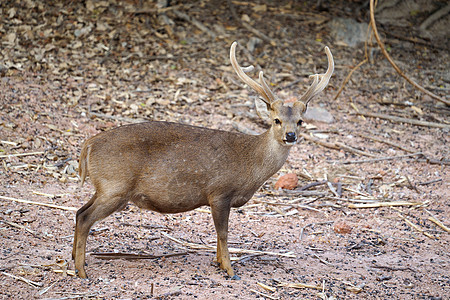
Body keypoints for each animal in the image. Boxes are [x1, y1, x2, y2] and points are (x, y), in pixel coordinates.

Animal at [72, 41, 334, 278]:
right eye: (276, 120)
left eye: (300, 121)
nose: (290, 136)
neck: (251, 164)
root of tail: (89, 144)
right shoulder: (219, 191)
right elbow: (223, 233)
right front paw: (230, 269)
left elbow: (220, 235)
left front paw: (218, 262)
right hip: (116, 186)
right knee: (85, 218)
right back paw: (81, 271)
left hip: (105, 188)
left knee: (78, 211)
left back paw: (74, 258)